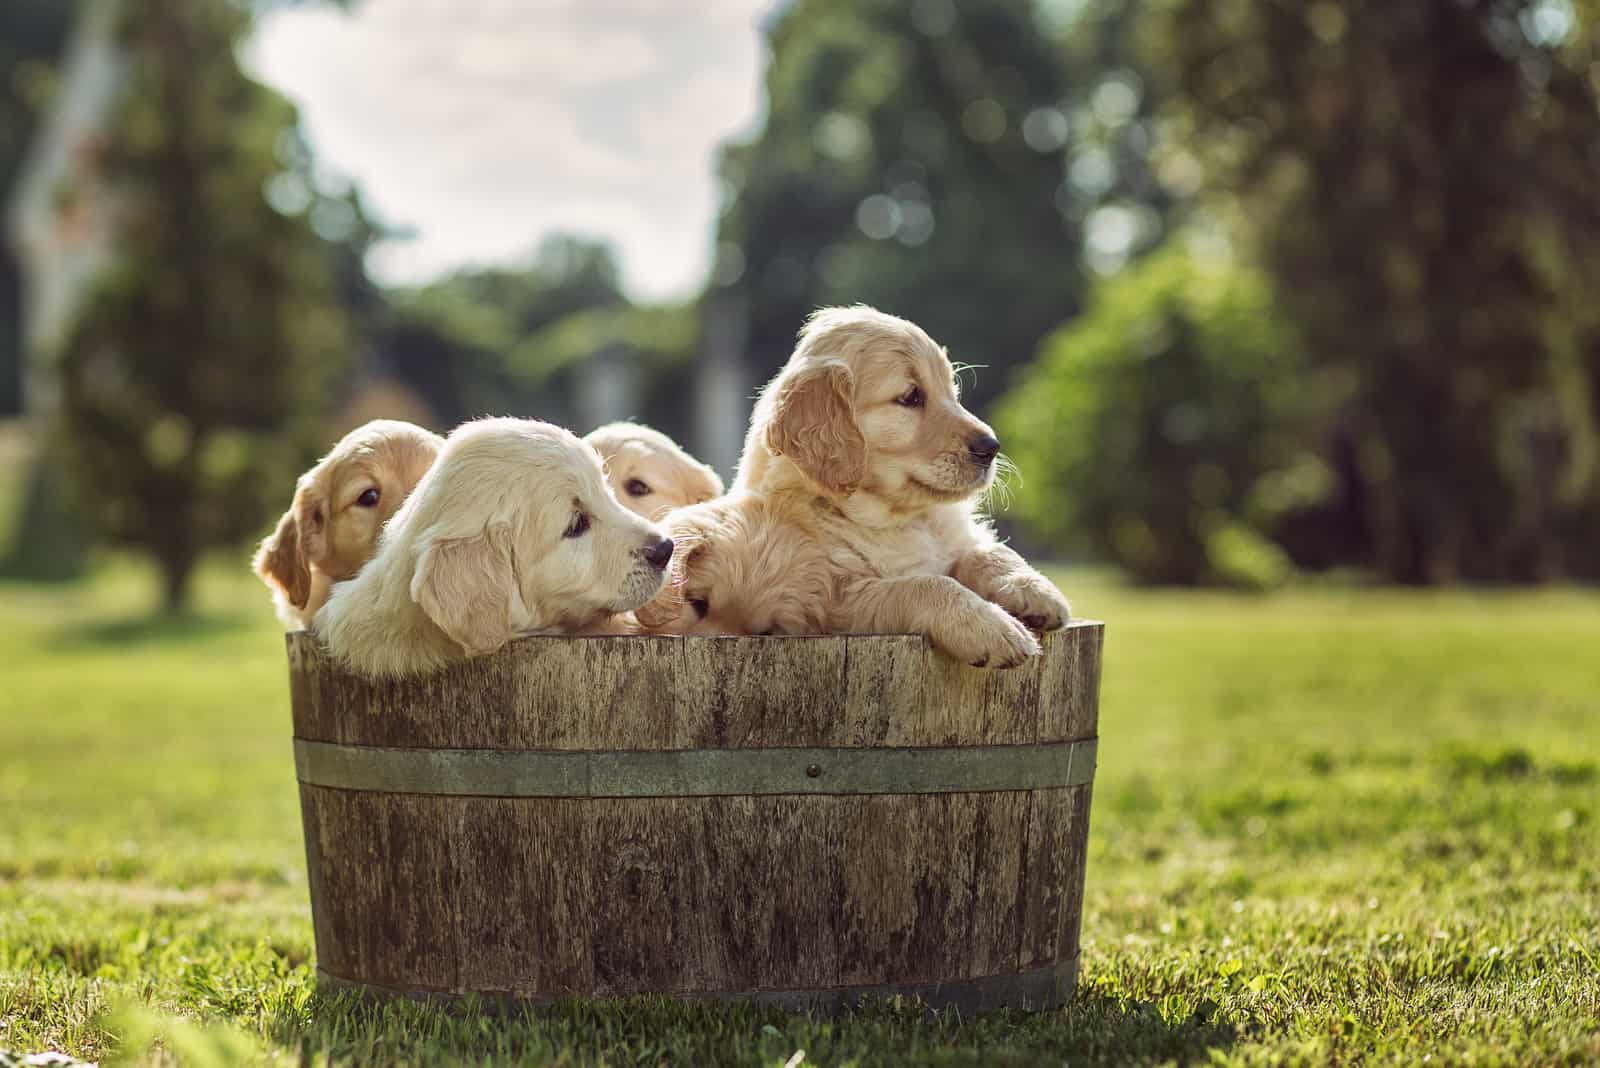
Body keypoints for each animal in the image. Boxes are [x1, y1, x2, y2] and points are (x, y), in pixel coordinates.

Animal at [739, 303, 1075, 668]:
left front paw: (1035, 588)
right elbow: (925, 585)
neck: (902, 519)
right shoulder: (833, 600)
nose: (991, 447)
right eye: (911, 397)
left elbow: (988, 551)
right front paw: (993, 628)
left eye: (952, 392)